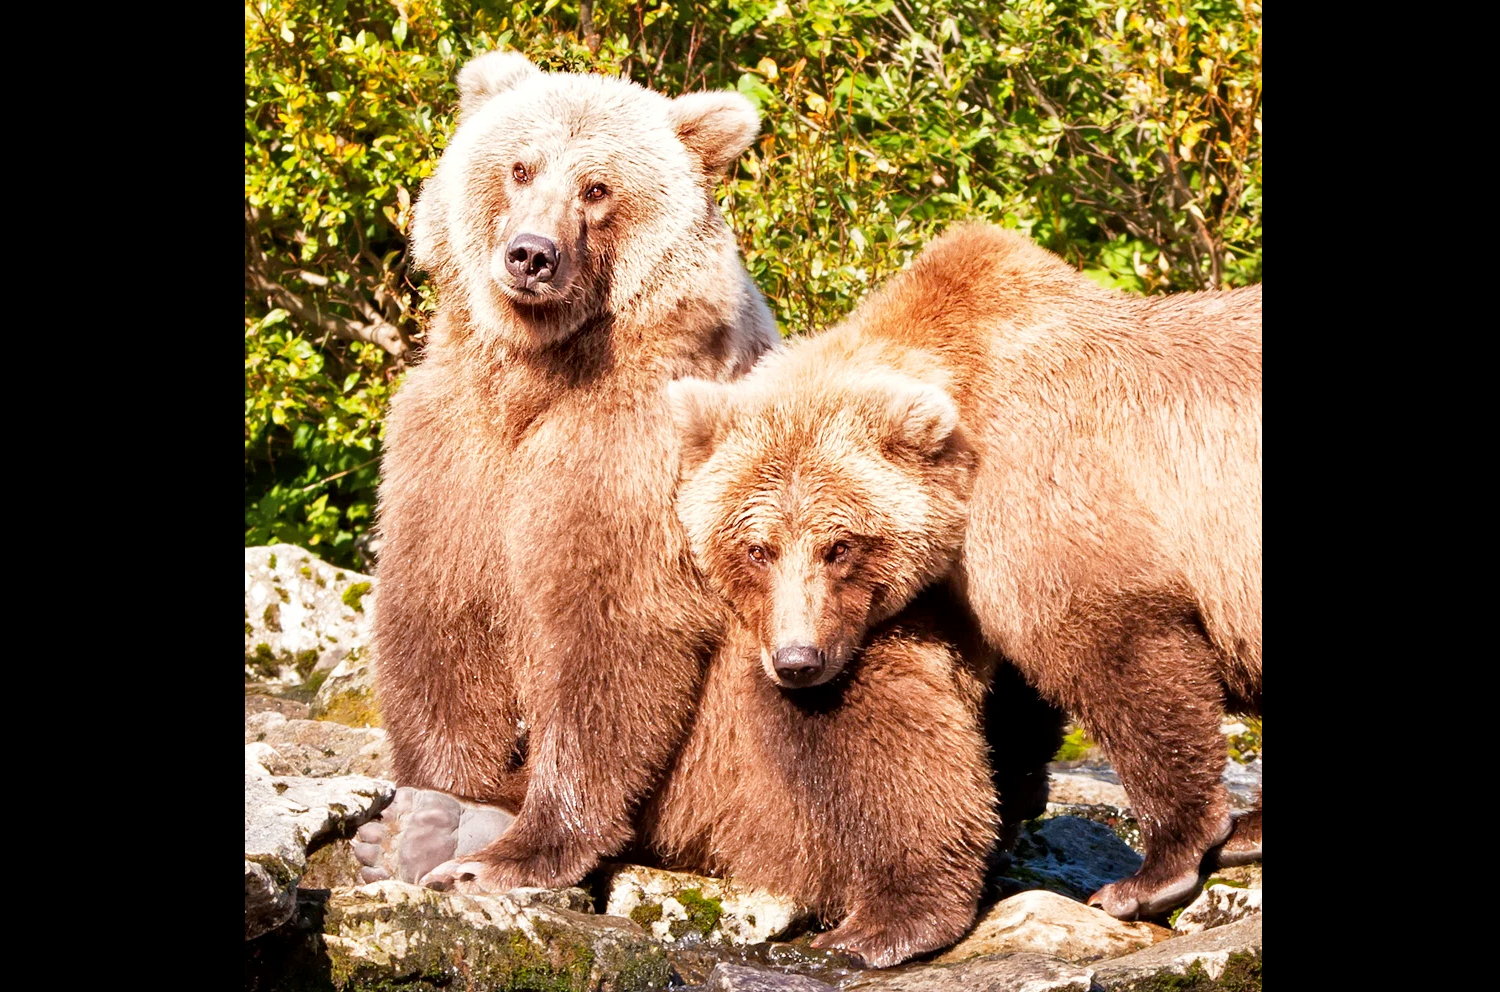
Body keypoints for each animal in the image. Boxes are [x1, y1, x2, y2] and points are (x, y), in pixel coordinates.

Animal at [371, 50, 779, 892]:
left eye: (597, 186)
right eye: (520, 166)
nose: (531, 253)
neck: (537, 369)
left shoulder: (629, 455)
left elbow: (608, 629)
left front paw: (512, 851)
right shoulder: (452, 445)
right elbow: (437, 608)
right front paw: (443, 803)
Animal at [668, 222, 1262, 921]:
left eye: (840, 546)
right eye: (757, 548)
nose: (798, 661)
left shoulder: (1051, 498)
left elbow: (1121, 656)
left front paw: (1151, 872)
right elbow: (1014, 702)